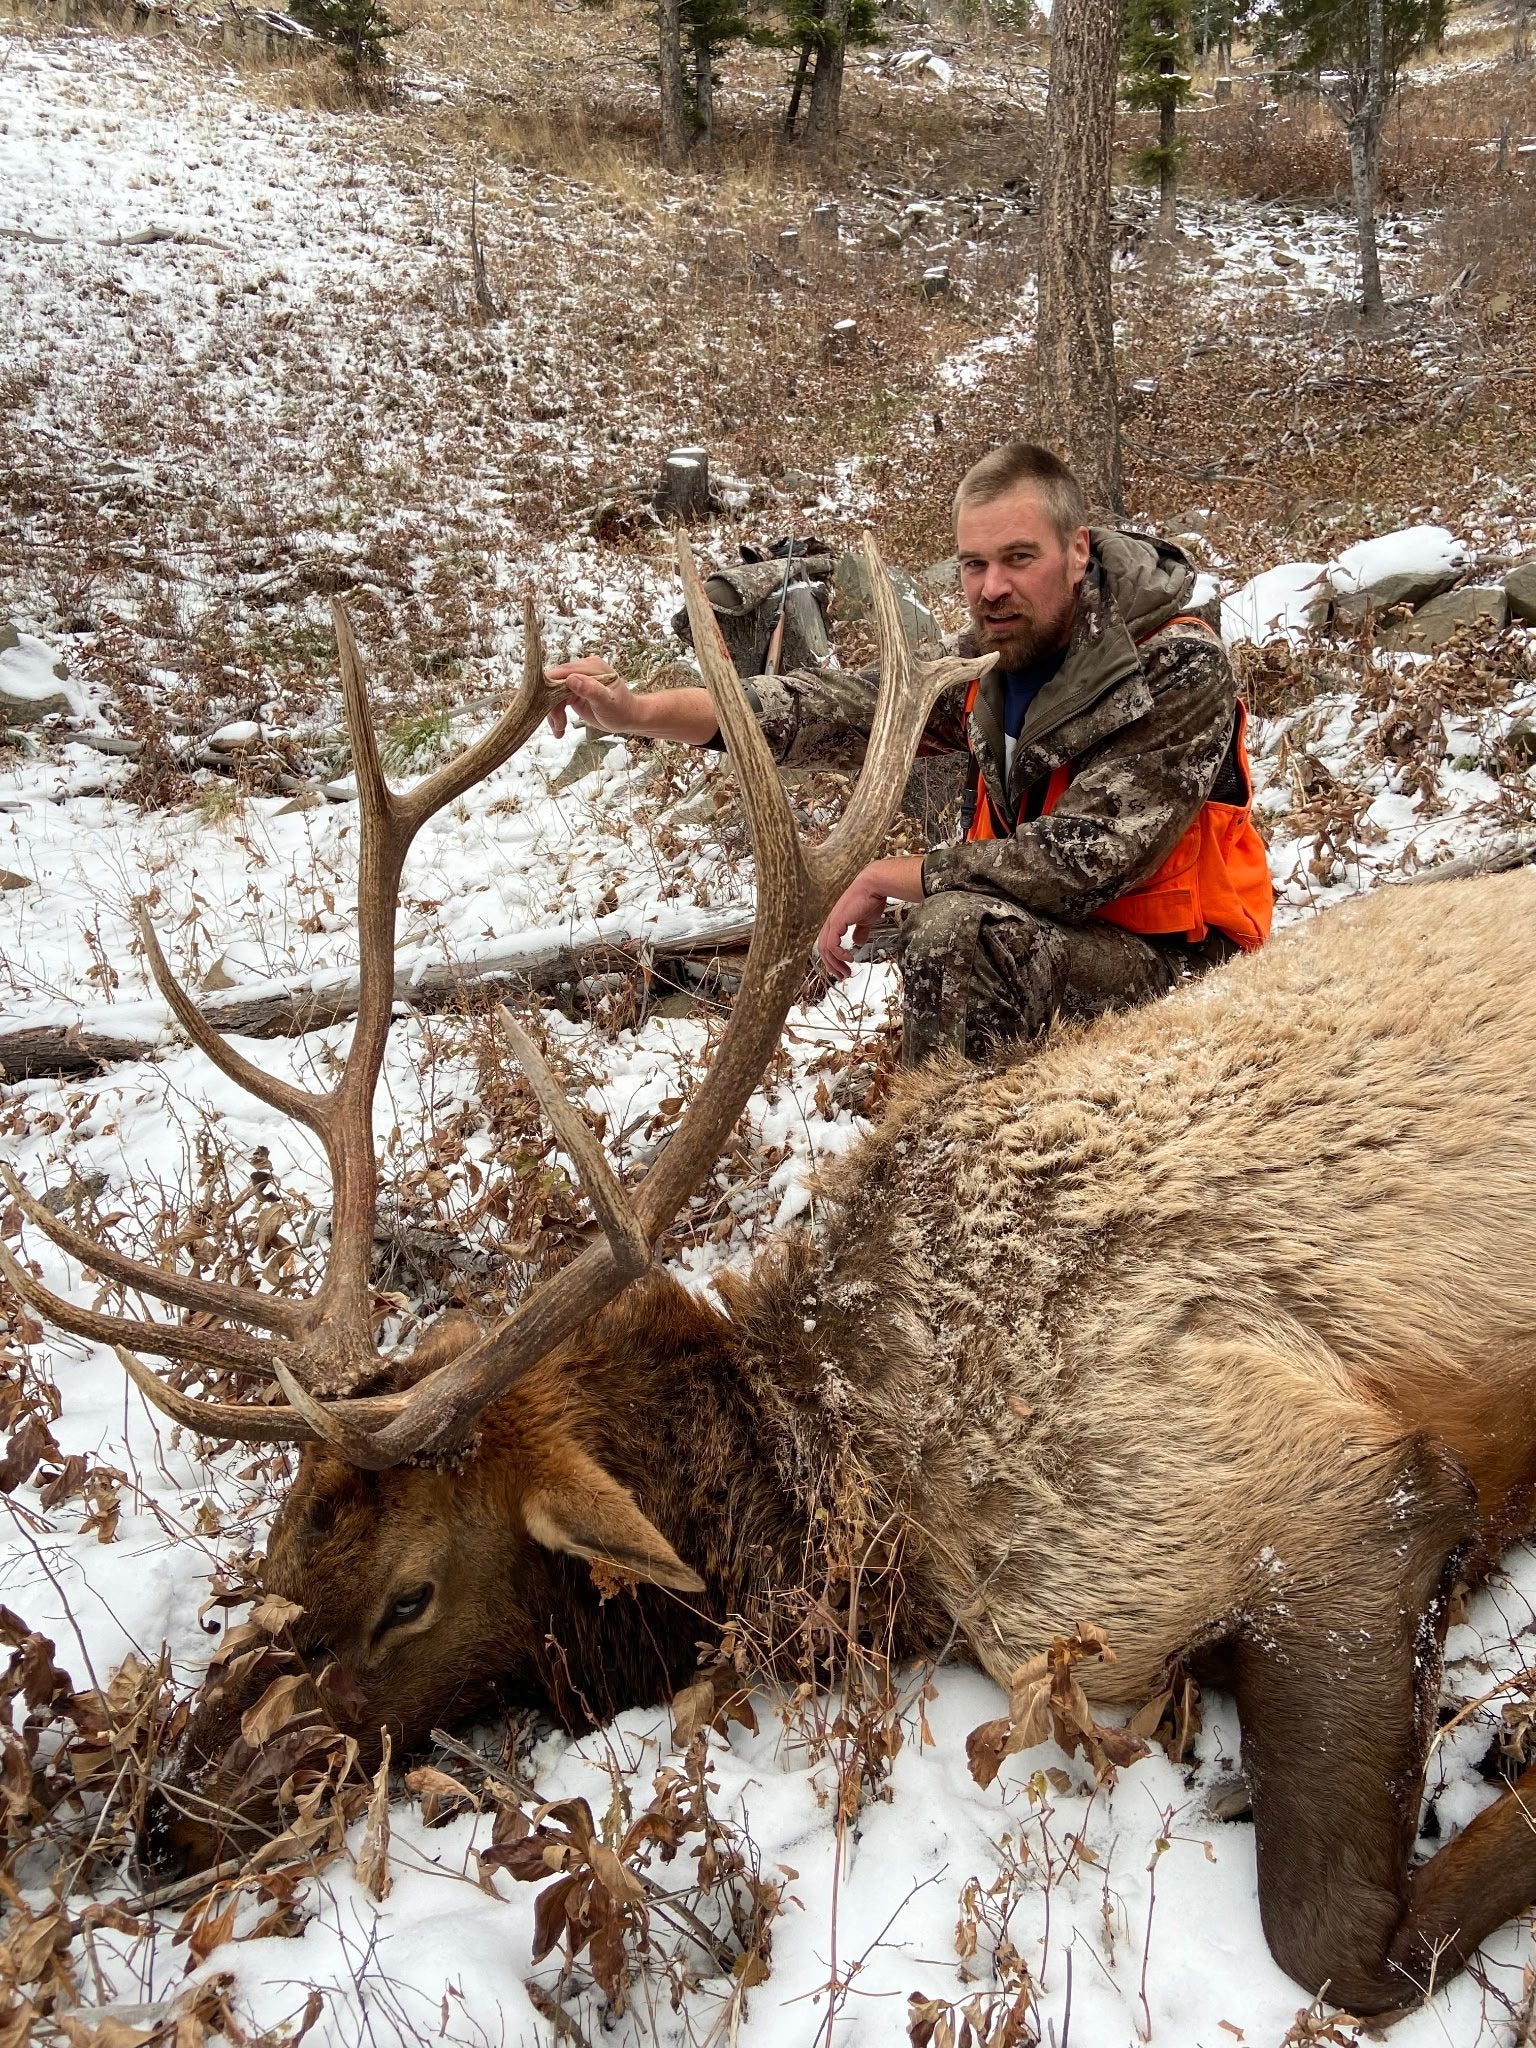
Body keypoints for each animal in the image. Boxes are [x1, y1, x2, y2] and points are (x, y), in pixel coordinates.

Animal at [4, 533, 1536, 2023]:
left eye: (410, 1597)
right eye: (277, 1551)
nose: (161, 1816)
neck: (838, 1468)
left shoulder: (1262, 1514)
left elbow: (1337, 1943)